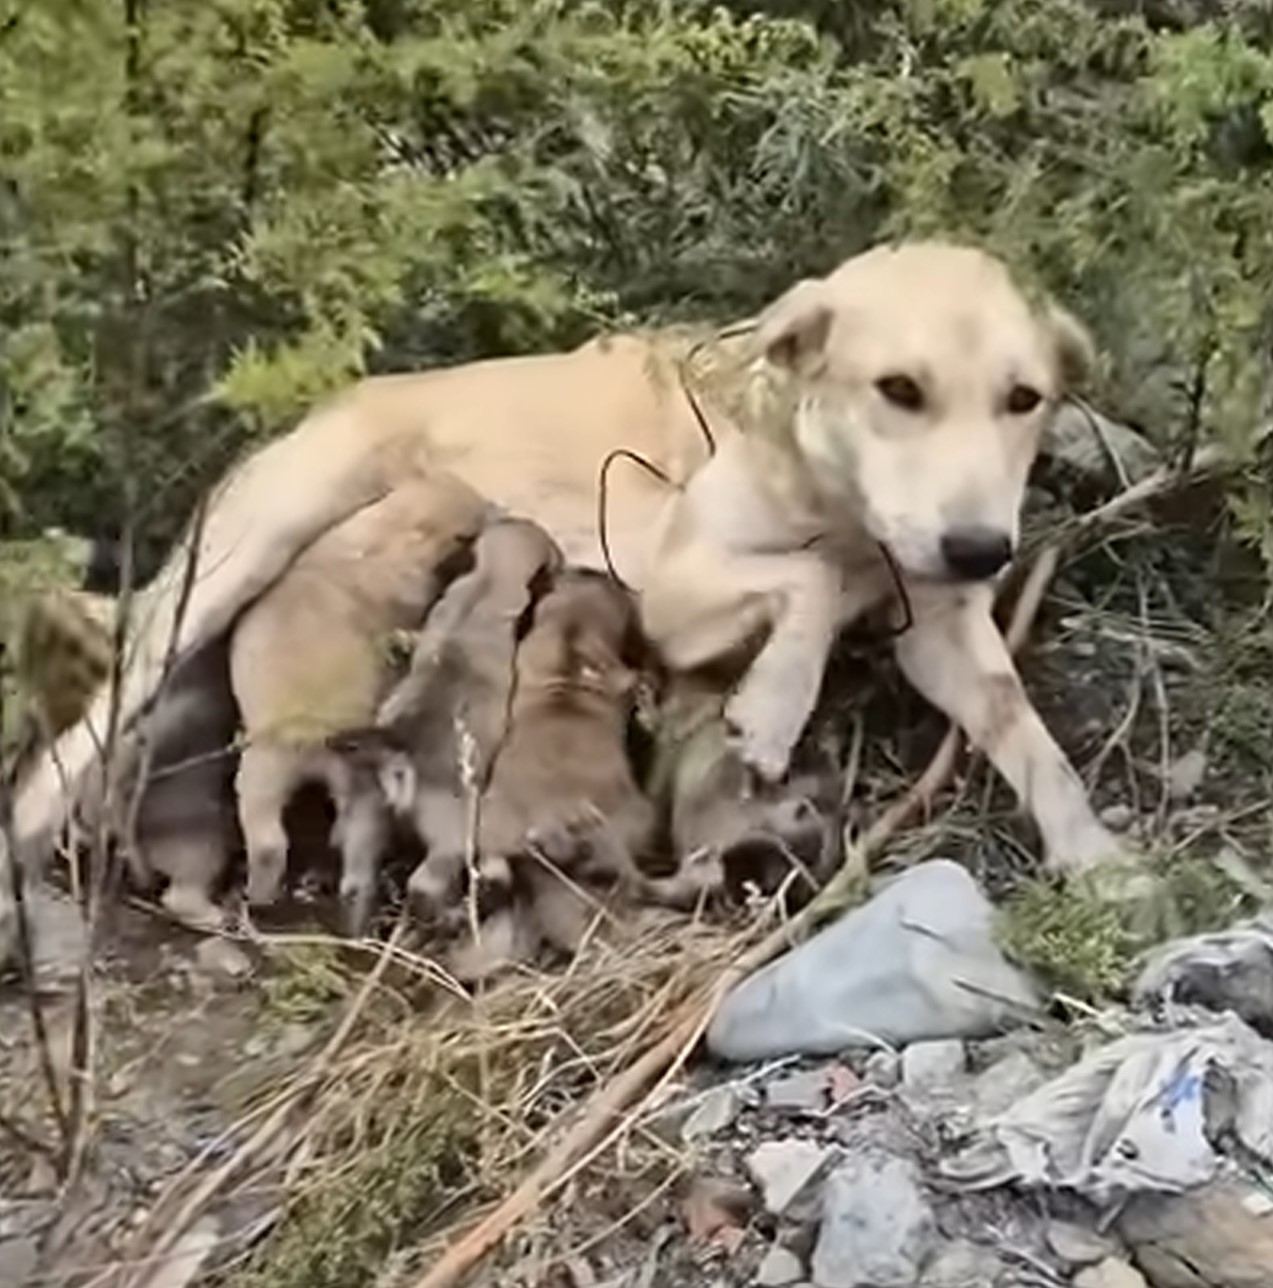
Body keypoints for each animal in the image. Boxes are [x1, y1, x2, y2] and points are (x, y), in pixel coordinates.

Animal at [229, 476, 487, 937]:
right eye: (466, 532)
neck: (386, 533)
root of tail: (314, 734)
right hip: (330, 781)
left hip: (283, 773)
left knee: (278, 840)